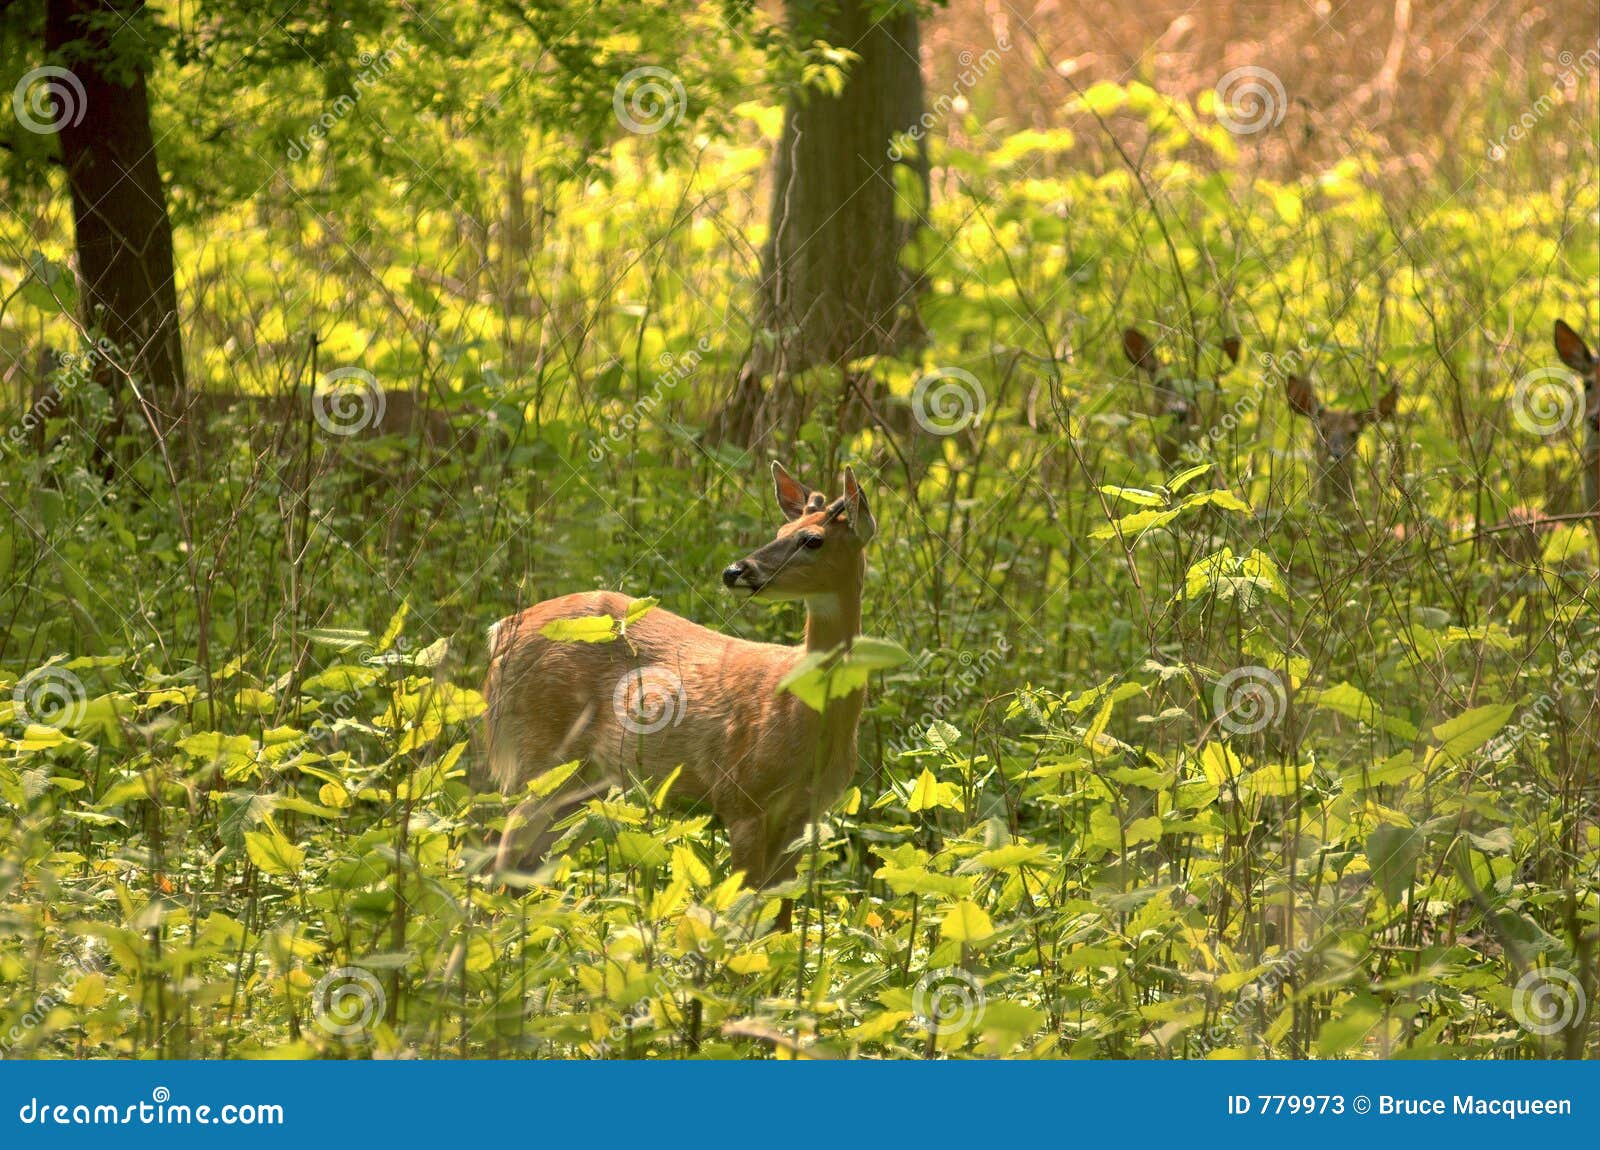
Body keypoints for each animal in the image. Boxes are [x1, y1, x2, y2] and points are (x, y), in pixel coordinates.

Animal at [477, 463, 877, 928]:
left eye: (812, 539)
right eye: (781, 528)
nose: (734, 570)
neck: (803, 715)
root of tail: (501, 631)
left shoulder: (800, 817)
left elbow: (777, 920)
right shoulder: (741, 799)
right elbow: (738, 913)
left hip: (586, 783)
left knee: (529, 863)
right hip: (540, 752)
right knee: (502, 848)